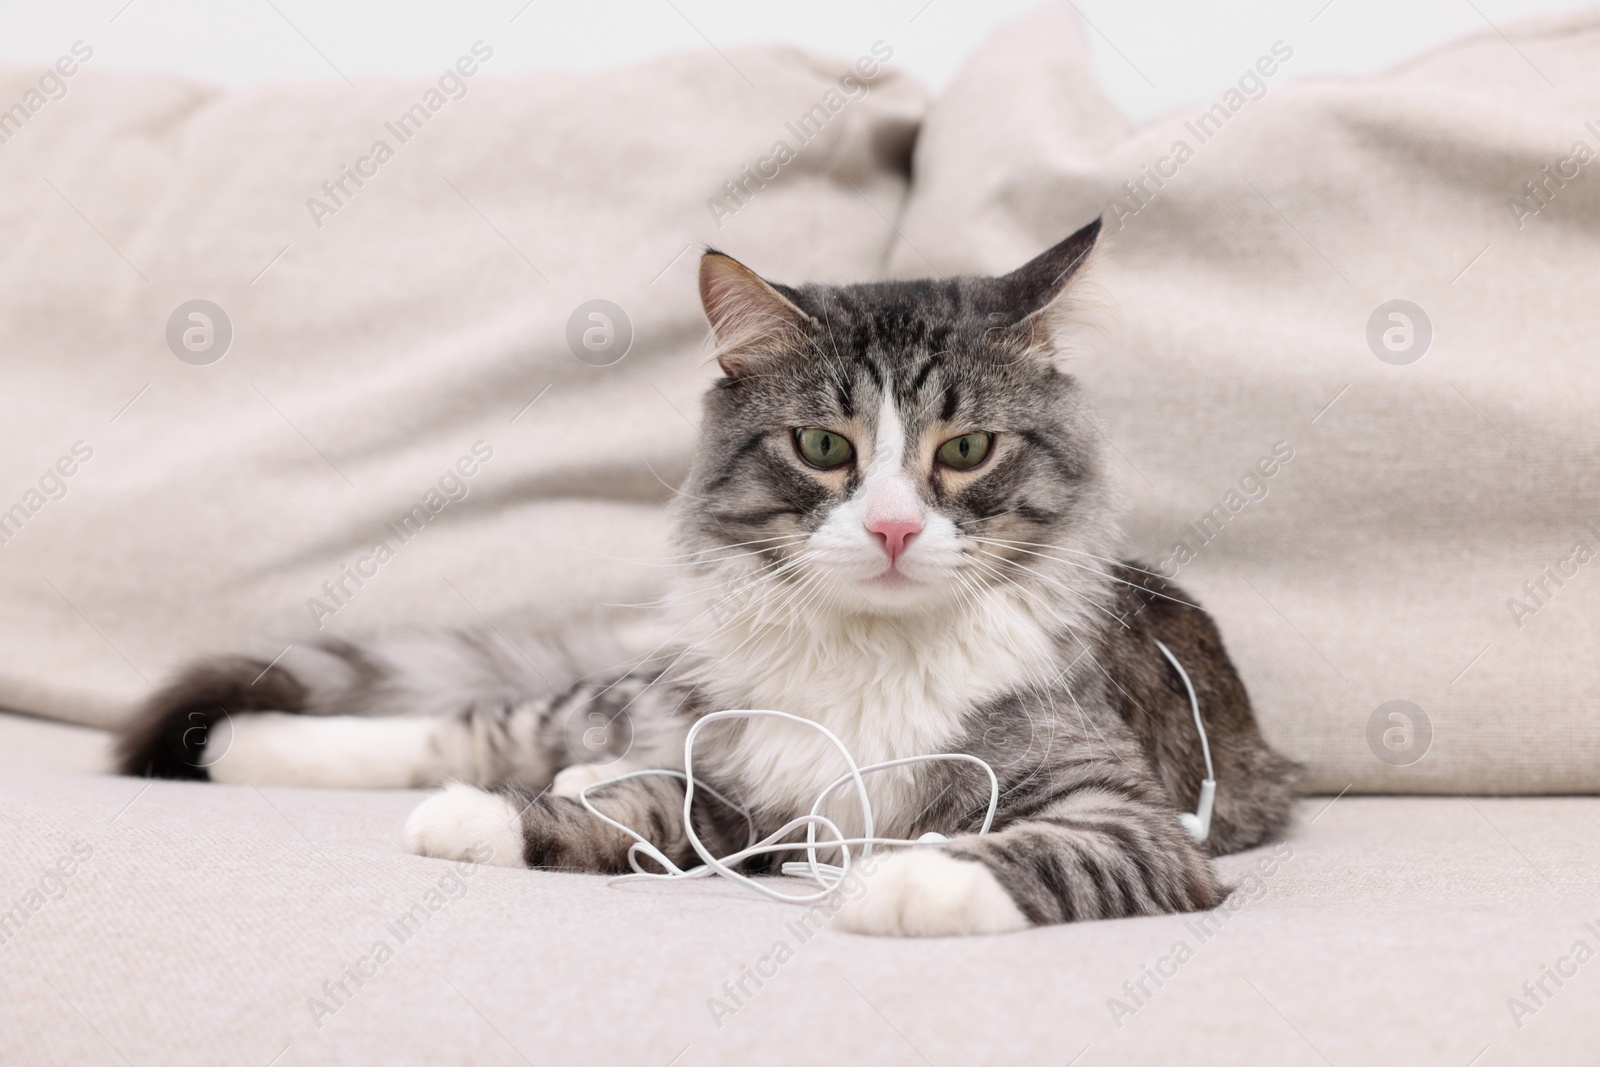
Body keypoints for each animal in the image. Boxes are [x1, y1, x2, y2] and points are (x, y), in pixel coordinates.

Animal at [121, 217, 1299, 934]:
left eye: (965, 451)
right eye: (823, 447)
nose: (891, 530)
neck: (874, 659)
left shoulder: (1127, 818)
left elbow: (1032, 850)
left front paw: (908, 876)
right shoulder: (754, 790)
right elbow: (637, 803)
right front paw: (484, 818)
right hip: (644, 698)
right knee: (491, 727)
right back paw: (243, 745)